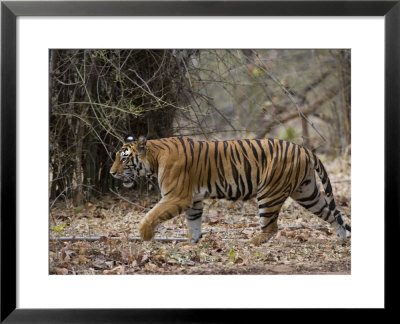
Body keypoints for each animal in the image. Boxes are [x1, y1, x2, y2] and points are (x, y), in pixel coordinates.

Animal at [109, 135, 350, 246]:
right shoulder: (193, 200)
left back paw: (250, 243)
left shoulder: (178, 197)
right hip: (306, 192)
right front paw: (192, 244)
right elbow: (194, 223)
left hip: (269, 192)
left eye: (124, 158)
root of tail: (305, 149)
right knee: (332, 213)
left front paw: (145, 236)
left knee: (271, 227)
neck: (154, 158)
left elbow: (151, 215)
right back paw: (343, 238)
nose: (111, 173)